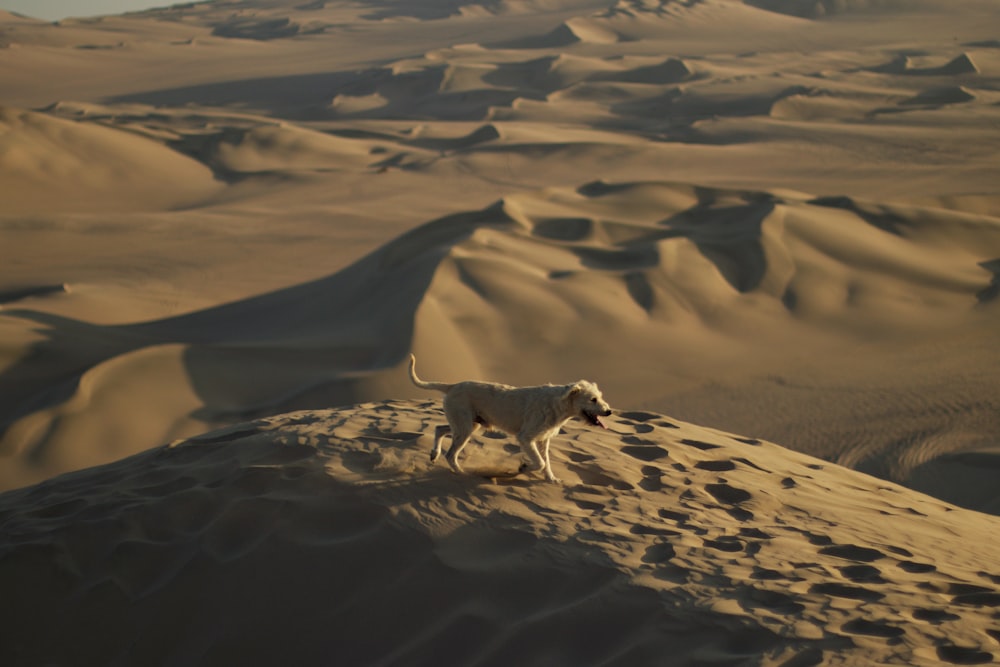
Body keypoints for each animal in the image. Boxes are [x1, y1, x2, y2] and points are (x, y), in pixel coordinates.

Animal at [404, 358, 608, 482]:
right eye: (593, 399)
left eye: (600, 396)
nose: (609, 411)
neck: (558, 403)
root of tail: (452, 386)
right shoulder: (526, 437)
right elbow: (540, 462)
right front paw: (524, 467)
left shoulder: (543, 439)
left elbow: (546, 462)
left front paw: (551, 479)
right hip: (464, 427)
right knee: (451, 454)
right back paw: (462, 473)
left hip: (467, 424)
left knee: (439, 428)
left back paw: (434, 453)